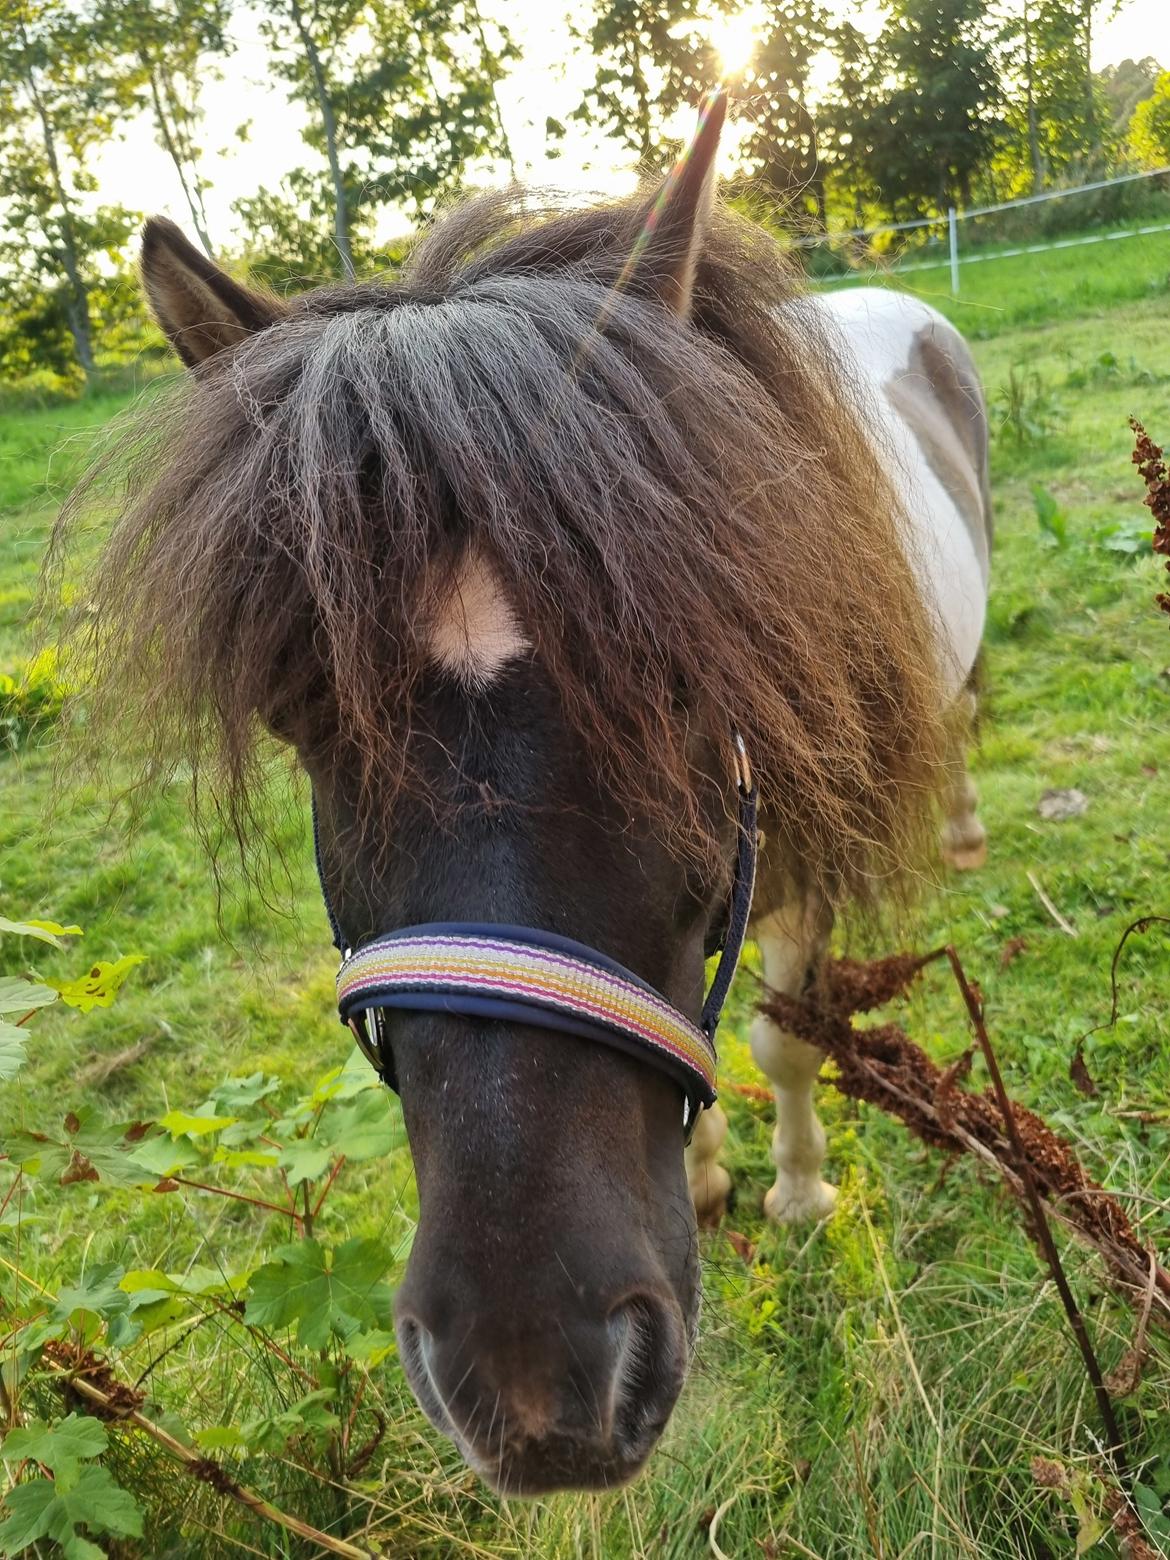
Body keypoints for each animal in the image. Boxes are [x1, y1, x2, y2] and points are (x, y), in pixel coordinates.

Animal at [59, 97, 992, 1497]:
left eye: (682, 670)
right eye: (301, 716)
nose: (536, 1383)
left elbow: (779, 1040)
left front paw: (799, 1194)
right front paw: (708, 1180)